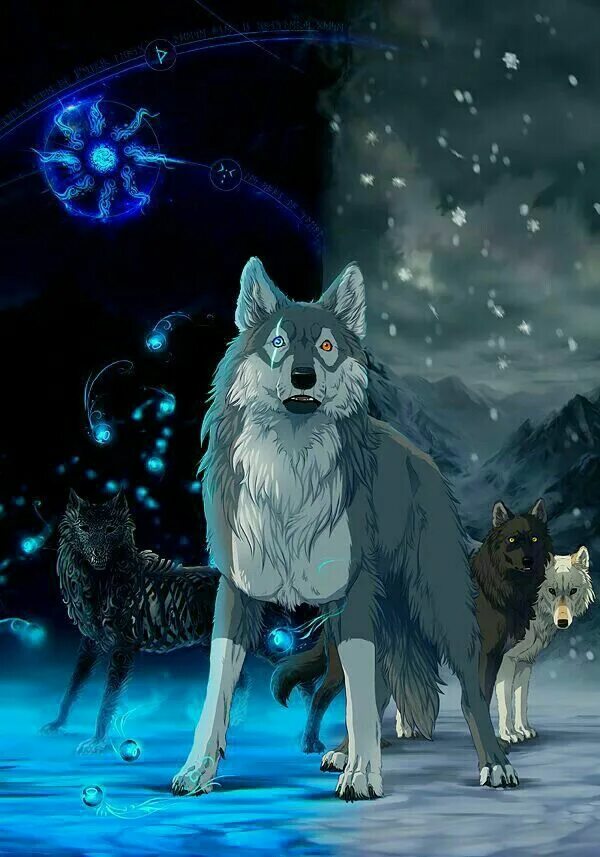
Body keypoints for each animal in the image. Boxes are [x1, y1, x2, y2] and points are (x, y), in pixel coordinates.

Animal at [171, 257, 518, 799]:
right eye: (278, 341)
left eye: (328, 347)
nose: (303, 375)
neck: (289, 470)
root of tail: (424, 459)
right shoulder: (238, 591)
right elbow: (217, 690)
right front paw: (197, 769)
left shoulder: (355, 592)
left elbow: (358, 698)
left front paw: (362, 776)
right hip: (350, 615)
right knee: (379, 680)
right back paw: (340, 752)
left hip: (431, 602)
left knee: (464, 689)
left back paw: (495, 765)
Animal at [495, 547, 594, 743]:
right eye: (551, 590)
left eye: (573, 590)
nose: (563, 622)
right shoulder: (505, 661)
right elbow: (506, 701)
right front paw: (508, 734)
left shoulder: (524, 662)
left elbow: (521, 699)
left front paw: (523, 730)